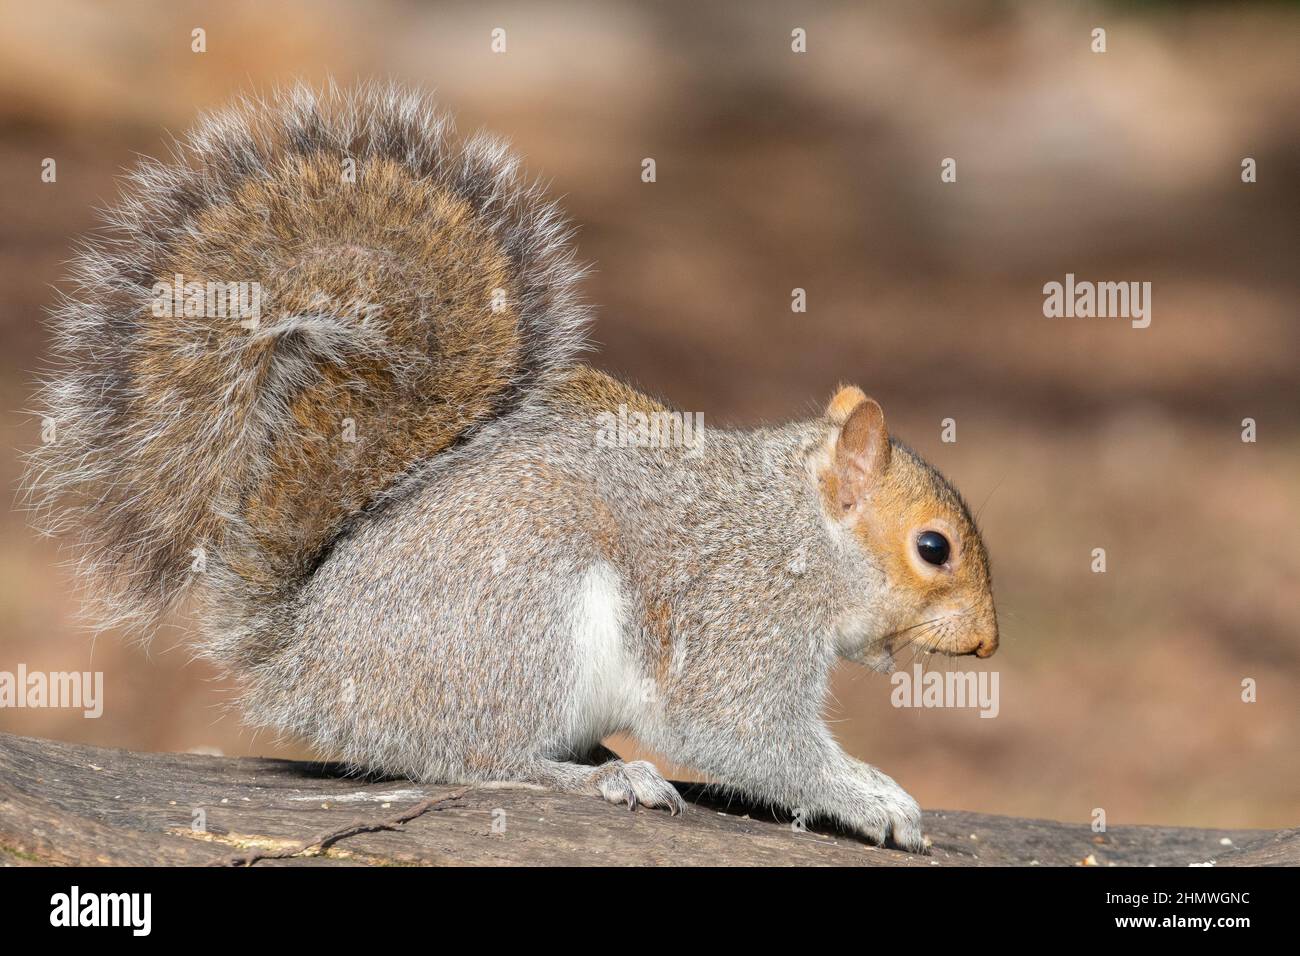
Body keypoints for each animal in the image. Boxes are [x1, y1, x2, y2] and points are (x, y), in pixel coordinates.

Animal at [25, 83, 998, 853]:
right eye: (934, 548)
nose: (987, 644)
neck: (797, 530)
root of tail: (304, 662)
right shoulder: (741, 616)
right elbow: (744, 732)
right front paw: (875, 799)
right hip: (522, 617)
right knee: (478, 758)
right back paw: (597, 777)